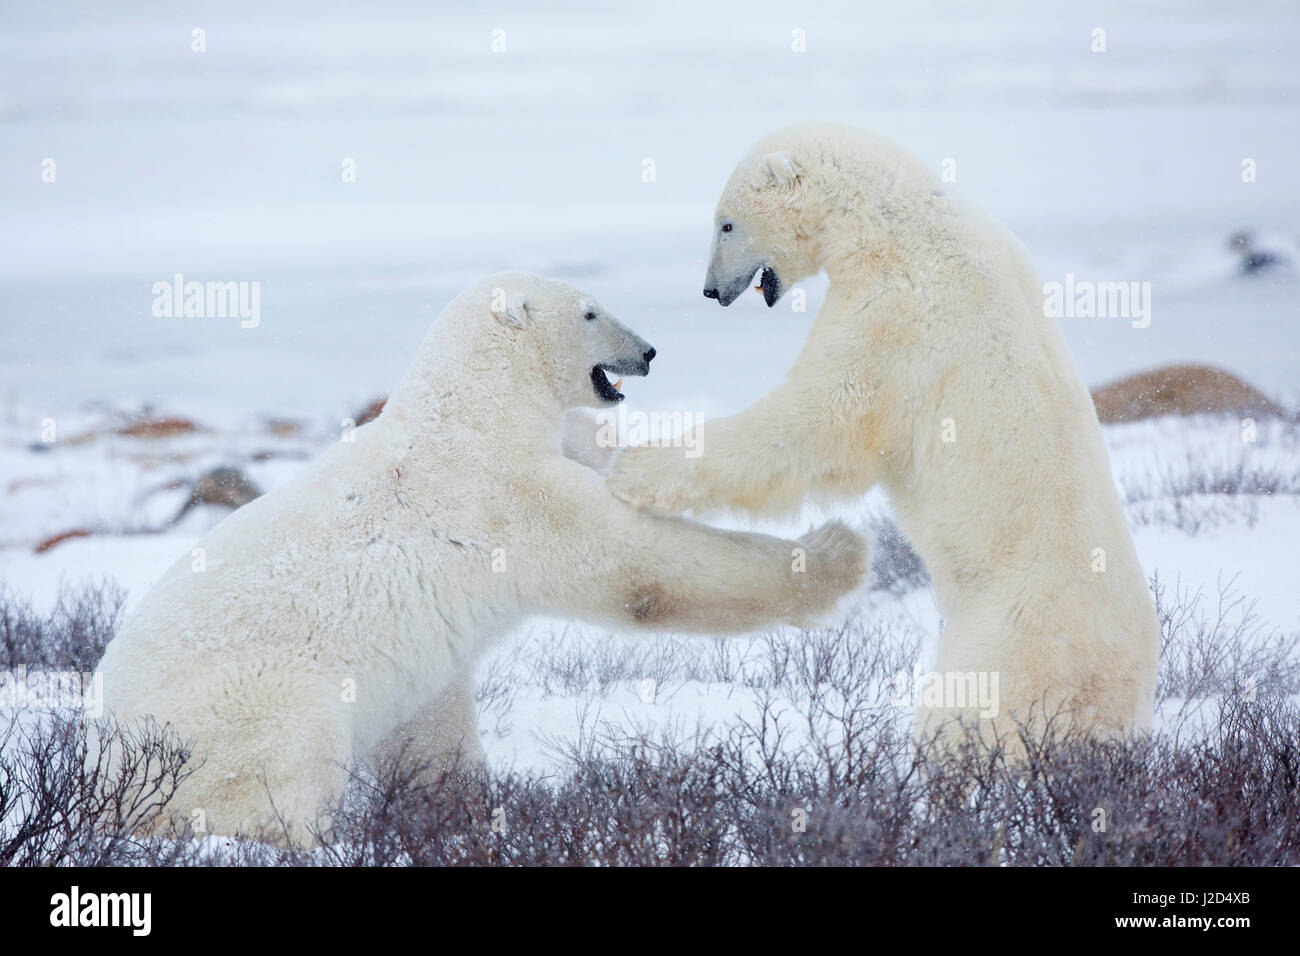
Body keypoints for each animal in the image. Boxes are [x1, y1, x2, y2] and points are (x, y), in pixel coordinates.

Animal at [98, 270, 863, 842]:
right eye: (590, 311)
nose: (648, 352)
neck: (473, 412)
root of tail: (106, 768)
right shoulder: (507, 497)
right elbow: (638, 565)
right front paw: (835, 554)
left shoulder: (424, 655)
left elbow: (432, 728)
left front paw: (459, 810)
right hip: (241, 708)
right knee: (280, 766)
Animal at [605, 123, 1159, 743]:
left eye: (726, 224)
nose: (708, 291)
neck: (895, 221)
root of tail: (1123, 692)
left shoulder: (897, 312)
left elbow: (822, 417)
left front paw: (635, 466)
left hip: (1015, 637)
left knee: (972, 708)